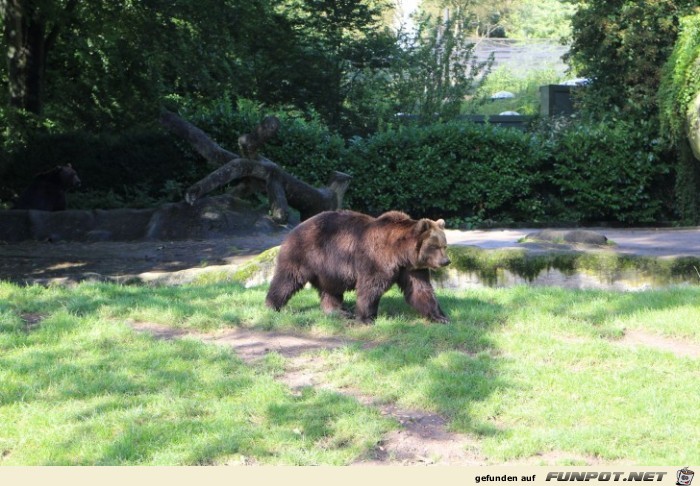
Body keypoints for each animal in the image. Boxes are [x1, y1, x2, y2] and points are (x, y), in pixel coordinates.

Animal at [266, 209, 452, 322]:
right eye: (434, 246)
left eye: (444, 245)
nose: (446, 261)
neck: (400, 254)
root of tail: (295, 227)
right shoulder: (377, 259)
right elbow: (370, 287)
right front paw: (366, 317)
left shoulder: (411, 269)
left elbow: (420, 289)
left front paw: (441, 317)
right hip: (305, 254)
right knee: (287, 279)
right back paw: (272, 305)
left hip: (328, 269)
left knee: (331, 290)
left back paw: (338, 311)